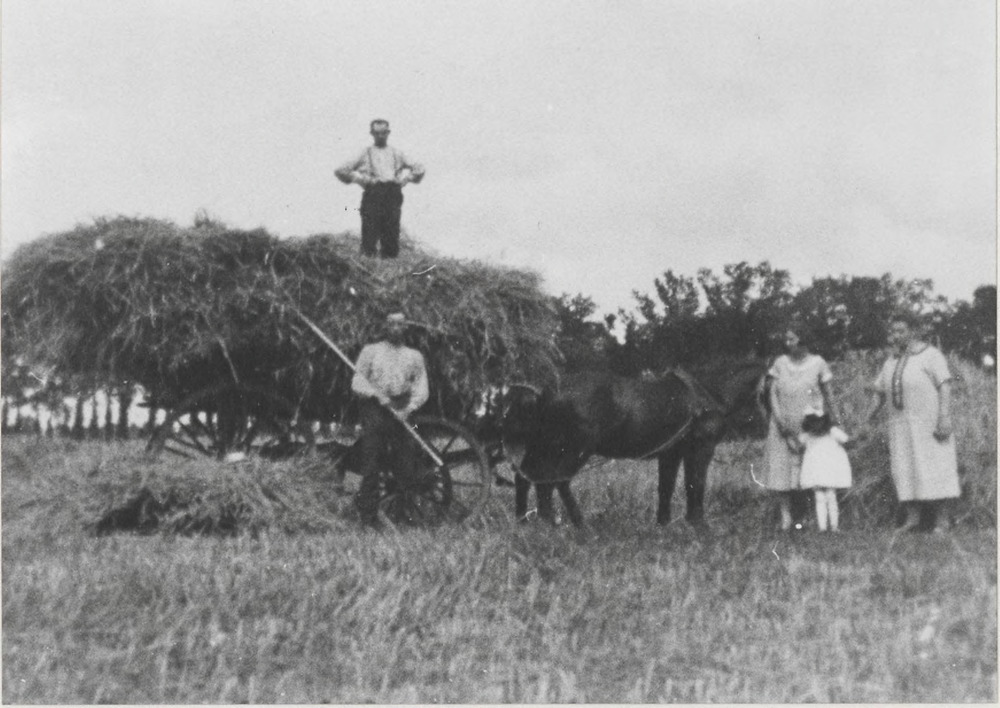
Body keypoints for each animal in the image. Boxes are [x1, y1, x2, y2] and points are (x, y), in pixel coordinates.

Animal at [501, 359, 767, 526]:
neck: (710, 392)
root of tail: (546, 392)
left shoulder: (671, 453)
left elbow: (666, 487)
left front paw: (663, 524)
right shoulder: (702, 449)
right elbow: (695, 484)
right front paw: (699, 525)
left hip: (547, 446)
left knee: (530, 478)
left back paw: (532, 522)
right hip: (574, 448)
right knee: (557, 480)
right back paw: (573, 523)